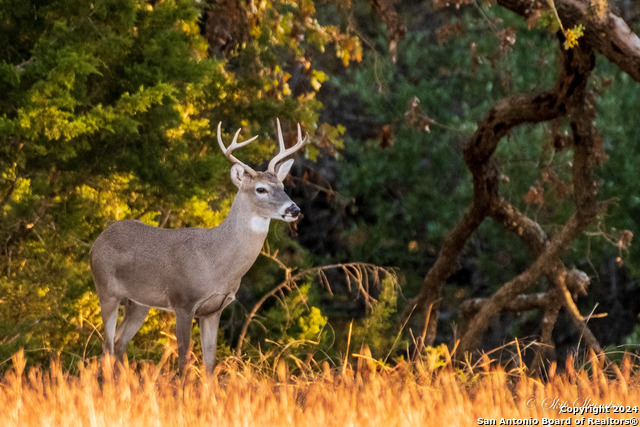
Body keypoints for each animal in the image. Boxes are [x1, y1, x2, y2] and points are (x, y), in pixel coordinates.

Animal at [90, 119, 308, 374]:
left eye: (282, 186)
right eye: (260, 189)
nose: (294, 209)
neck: (215, 261)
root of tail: (98, 241)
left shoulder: (215, 309)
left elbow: (210, 361)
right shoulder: (183, 301)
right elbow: (184, 358)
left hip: (138, 303)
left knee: (119, 343)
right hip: (105, 290)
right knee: (107, 346)